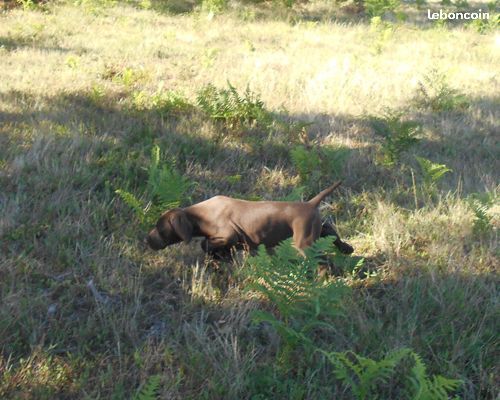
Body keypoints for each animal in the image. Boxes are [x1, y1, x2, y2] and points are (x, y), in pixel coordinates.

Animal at [146, 181, 354, 256]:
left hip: (305, 242)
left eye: (160, 228)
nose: (147, 239)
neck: (199, 215)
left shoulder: (228, 234)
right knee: (330, 231)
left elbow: (205, 244)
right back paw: (346, 248)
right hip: (315, 230)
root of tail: (310, 203)